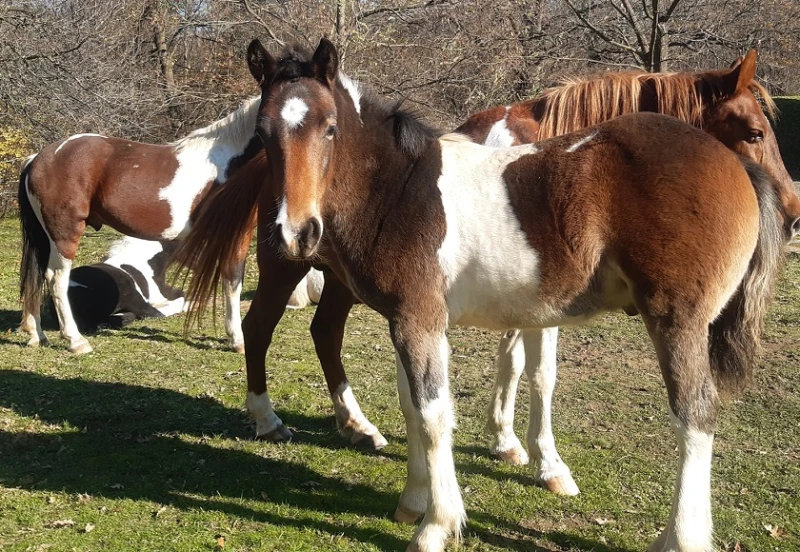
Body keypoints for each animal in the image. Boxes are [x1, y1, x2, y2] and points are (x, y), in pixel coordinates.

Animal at [181, 41, 800, 552]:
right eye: (263, 133)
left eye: (330, 127)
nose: (297, 231)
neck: (400, 188)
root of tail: (734, 167)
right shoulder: (409, 318)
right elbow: (414, 408)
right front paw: (415, 501)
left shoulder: (421, 321)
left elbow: (437, 414)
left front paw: (437, 526)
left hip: (678, 321)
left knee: (695, 414)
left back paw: (681, 539)